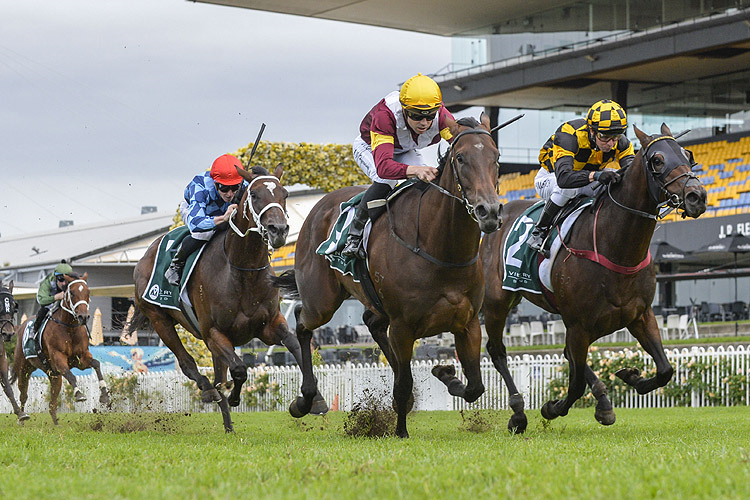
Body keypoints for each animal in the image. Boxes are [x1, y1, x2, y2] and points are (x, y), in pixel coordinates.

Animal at [12, 272, 111, 424]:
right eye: (72, 292)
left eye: (88, 292)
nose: (83, 317)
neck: (69, 328)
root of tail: (20, 327)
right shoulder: (58, 357)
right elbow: (70, 375)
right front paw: (79, 394)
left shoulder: (80, 358)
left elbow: (96, 364)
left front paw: (105, 395)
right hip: (23, 369)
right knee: (23, 394)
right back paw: (22, 418)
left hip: (53, 375)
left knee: (52, 403)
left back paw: (56, 424)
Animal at [133, 165, 326, 434]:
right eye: (254, 194)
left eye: (285, 193)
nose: (278, 230)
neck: (242, 271)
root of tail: (143, 258)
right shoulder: (214, 332)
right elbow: (239, 369)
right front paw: (234, 397)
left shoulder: (269, 325)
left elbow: (296, 347)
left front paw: (313, 401)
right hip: (160, 318)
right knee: (188, 364)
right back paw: (209, 392)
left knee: (218, 375)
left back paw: (228, 425)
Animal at [274, 115, 502, 436]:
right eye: (460, 157)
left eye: (496, 157)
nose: (489, 212)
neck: (441, 249)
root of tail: (317, 207)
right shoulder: (404, 326)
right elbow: (405, 382)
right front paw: (400, 431)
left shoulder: (468, 323)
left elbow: (475, 387)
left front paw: (446, 373)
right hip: (322, 301)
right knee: (302, 322)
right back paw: (305, 400)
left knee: (371, 322)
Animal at [482, 122, 712, 430]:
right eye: (657, 160)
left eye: (688, 155)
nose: (696, 196)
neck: (615, 247)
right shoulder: (579, 326)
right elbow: (575, 384)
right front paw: (552, 408)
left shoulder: (640, 315)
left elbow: (665, 369)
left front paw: (631, 377)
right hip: (497, 301)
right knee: (497, 351)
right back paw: (518, 413)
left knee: (565, 354)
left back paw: (602, 401)